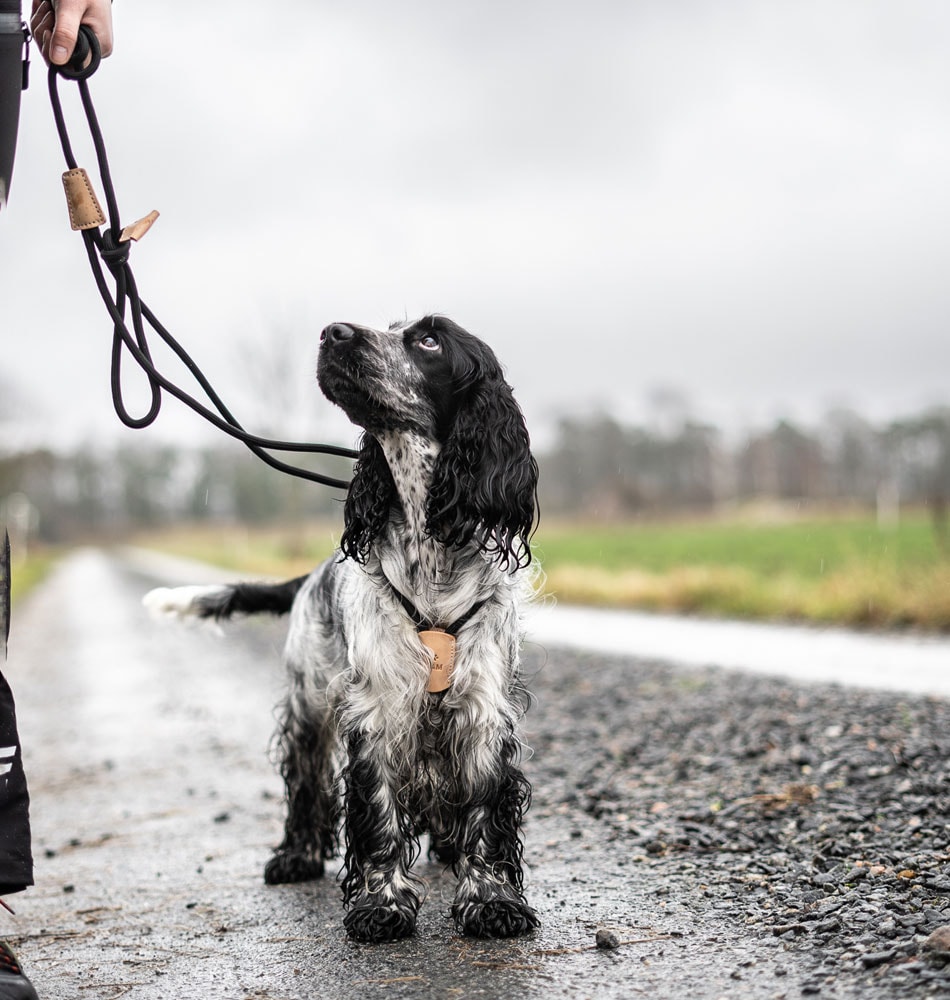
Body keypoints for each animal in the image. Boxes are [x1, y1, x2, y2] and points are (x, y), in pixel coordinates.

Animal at [145, 316, 540, 940]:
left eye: (428, 340)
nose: (334, 332)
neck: (432, 547)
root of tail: (309, 575)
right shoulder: (376, 707)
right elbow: (377, 813)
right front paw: (382, 905)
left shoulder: (482, 705)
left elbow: (484, 811)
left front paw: (492, 900)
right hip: (308, 703)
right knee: (305, 782)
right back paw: (296, 856)